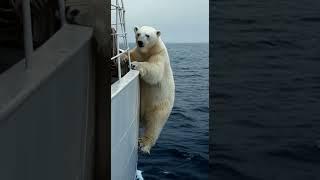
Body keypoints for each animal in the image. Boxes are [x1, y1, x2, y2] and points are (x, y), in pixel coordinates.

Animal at [125, 26, 175, 154]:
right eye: (138, 33)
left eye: (147, 35)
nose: (140, 42)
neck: (148, 51)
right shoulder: (137, 52)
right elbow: (129, 54)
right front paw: (122, 59)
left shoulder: (159, 56)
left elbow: (155, 71)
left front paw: (135, 65)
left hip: (159, 107)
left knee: (154, 124)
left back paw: (144, 145)